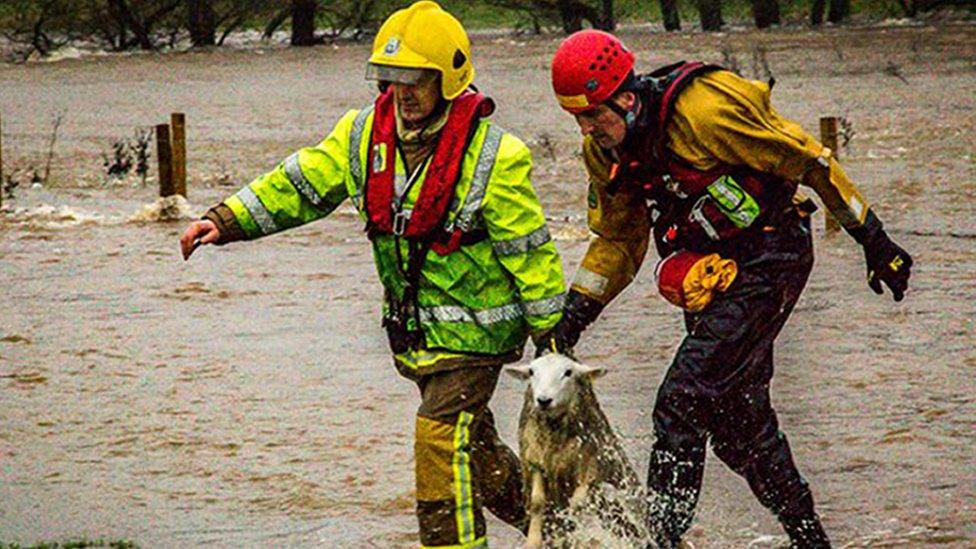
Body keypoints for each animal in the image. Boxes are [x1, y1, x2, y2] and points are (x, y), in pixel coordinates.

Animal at [504, 354, 648, 544]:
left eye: (568, 372)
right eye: (531, 372)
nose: (544, 400)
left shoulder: (591, 468)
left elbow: (577, 503)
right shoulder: (535, 462)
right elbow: (537, 503)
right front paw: (534, 541)